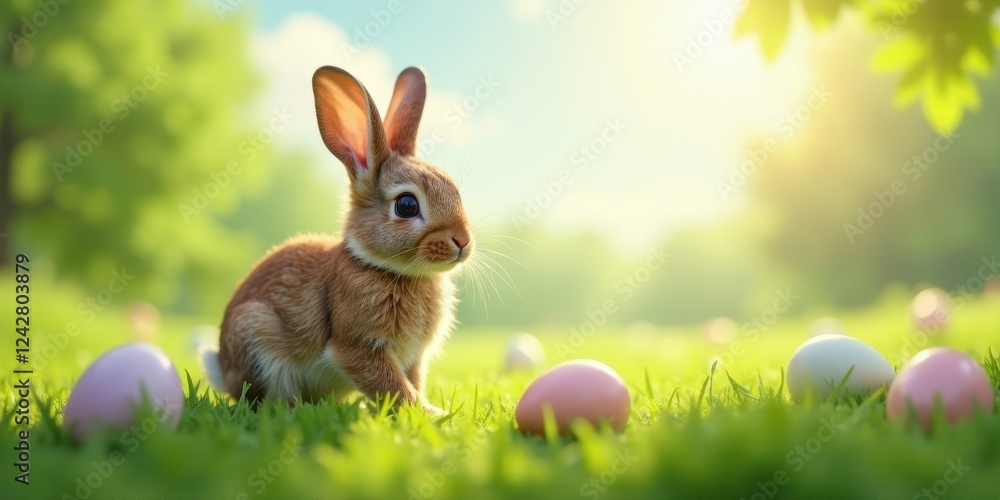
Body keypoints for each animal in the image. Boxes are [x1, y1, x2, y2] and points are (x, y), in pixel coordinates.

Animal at [199, 66, 473, 414]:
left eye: (455, 190)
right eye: (407, 205)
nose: (463, 242)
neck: (390, 270)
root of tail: (223, 370)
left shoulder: (412, 358)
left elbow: (411, 382)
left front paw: (431, 411)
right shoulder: (356, 347)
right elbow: (394, 386)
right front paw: (430, 415)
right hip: (256, 337)